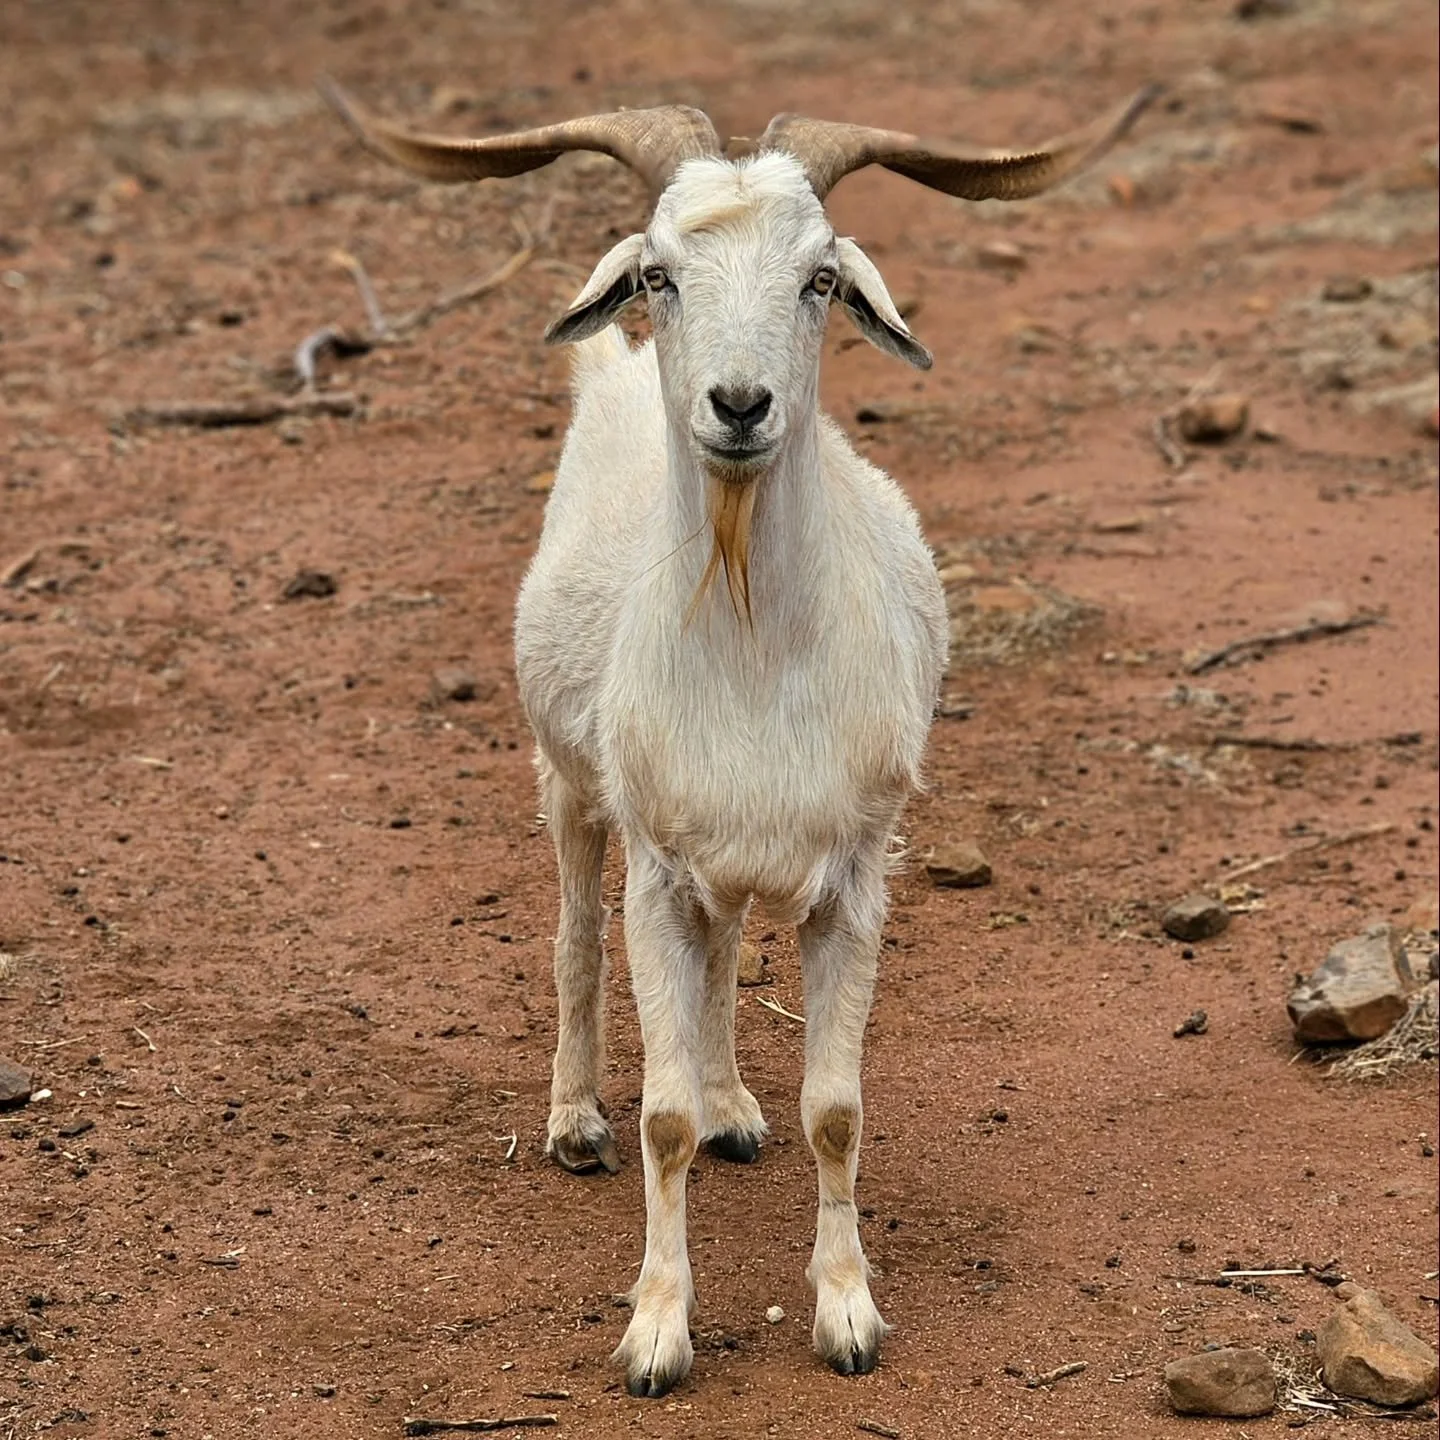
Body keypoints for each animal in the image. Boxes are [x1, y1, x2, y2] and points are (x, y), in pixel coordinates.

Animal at [324, 79, 1155, 1397]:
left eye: (819, 278)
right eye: (660, 273)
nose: (739, 405)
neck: (757, 652)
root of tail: (607, 378)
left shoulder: (854, 874)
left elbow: (835, 1110)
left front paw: (849, 1315)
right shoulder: (657, 871)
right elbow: (657, 1116)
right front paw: (656, 1334)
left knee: (722, 964)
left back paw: (730, 1107)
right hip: (568, 784)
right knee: (573, 940)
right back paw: (574, 1122)